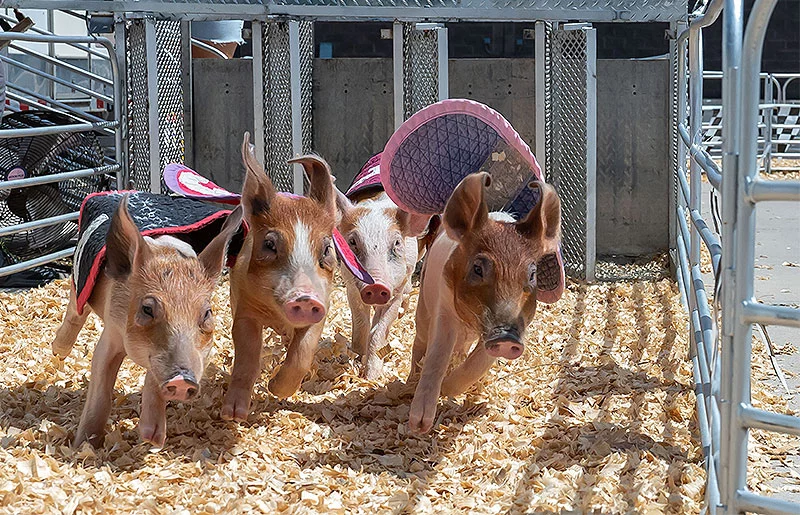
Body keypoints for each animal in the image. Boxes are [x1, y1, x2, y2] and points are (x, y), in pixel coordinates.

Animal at [51, 196, 243, 448]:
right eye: (147, 309)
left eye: (207, 314)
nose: (183, 380)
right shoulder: (111, 332)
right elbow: (101, 388)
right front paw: (83, 446)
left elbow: (153, 373)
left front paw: (152, 439)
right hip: (78, 288)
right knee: (74, 315)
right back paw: (57, 354)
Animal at [221, 133, 338, 421]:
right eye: (269, 244)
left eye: (326, 249)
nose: (305, 298)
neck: (277, 315)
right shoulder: (244, 309)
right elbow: (248, 355)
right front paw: (233, 415)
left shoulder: (323, 305)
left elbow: (302, 351)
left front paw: (276, 389)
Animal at [335, 189, 431, 380]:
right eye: (352, 242)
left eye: (397, 243)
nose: (376, 286)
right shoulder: (351, 286)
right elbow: (361, 323)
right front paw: (357, 361)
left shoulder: (396, 290)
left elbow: (378, 332)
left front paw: (371, 377)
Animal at [407, 172, 561, 434]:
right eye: (478, 268)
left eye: (532, 274)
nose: (507, 337)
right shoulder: (443, 308)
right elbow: (437, 354)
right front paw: (419, 425)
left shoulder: (520, 325)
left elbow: (479, 362)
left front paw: (450, 389)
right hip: (423, 312)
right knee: (420, 345)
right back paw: (409, 383)